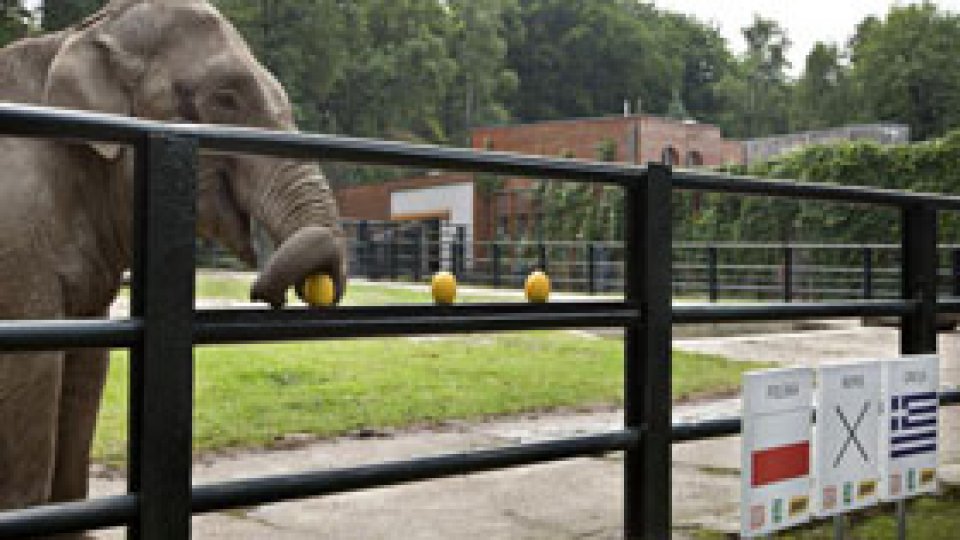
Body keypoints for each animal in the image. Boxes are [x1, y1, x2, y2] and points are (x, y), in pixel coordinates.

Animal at [0, 0, 345, 534]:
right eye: (225, 99)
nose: (264, 293)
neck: (74, 37)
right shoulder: (17, 238)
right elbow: (33, 369)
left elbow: (87, 366)